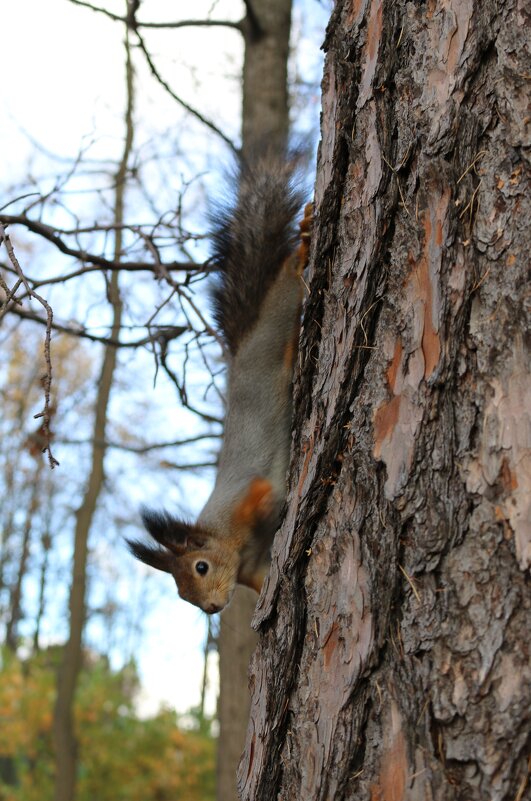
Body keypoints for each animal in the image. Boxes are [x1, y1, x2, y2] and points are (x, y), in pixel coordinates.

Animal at [128, 159, 312, 616]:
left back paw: (302, 246)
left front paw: (274, 501)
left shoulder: (239, 501)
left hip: (278, 317)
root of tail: (244, 344)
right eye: (182, 594)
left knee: (287, 278)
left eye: (200, 567)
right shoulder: (253, 569)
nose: (211, 608)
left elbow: (261, 492)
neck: (232, 543)